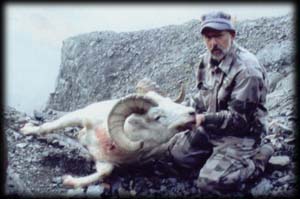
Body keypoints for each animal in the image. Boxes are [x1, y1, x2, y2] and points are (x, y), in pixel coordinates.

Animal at [19, 79, 196, 188]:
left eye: (171, 102)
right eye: (157, 116)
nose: (192, 113)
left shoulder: (105, 162)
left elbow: (104, 173)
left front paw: (68, 181)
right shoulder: (80, 116)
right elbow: (48, 126)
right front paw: (26, 129)